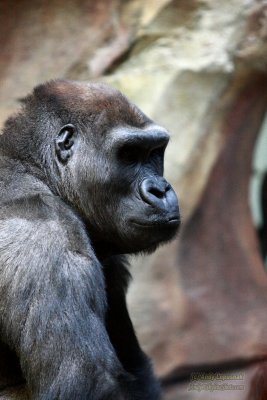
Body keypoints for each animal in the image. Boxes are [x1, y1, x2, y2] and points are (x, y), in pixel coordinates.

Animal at [0, 79, 181, 398]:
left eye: (154, 152)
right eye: (129, 155)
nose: (160, 189)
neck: (35, 170)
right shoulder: (48, 235)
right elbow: (90, 383)